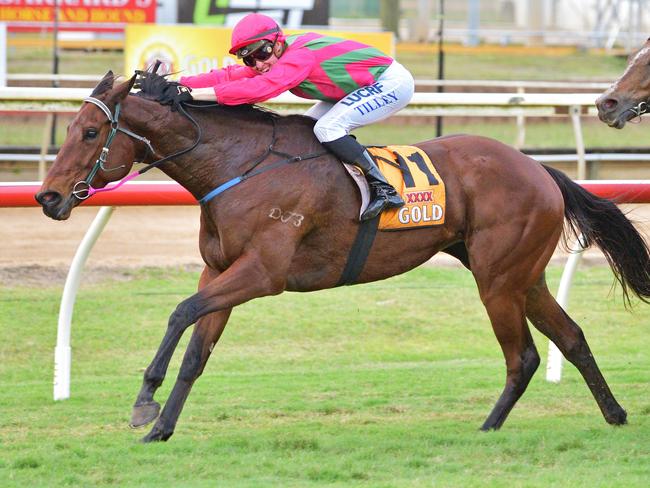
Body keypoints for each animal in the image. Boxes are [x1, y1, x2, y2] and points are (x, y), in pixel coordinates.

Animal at [36, 69, 648, 442]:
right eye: (68, 128)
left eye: (89, 132)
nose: (48, 197)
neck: (237, 165)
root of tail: (538, 167)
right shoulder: (221, 271)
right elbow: (197, 352)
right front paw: (161, 427)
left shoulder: (263, 273)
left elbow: (180, 312)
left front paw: (144, 401)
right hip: (521, 275)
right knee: (571, 337)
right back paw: (615, 415)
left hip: (498, 279)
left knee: (522, 356)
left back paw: (487, 427)